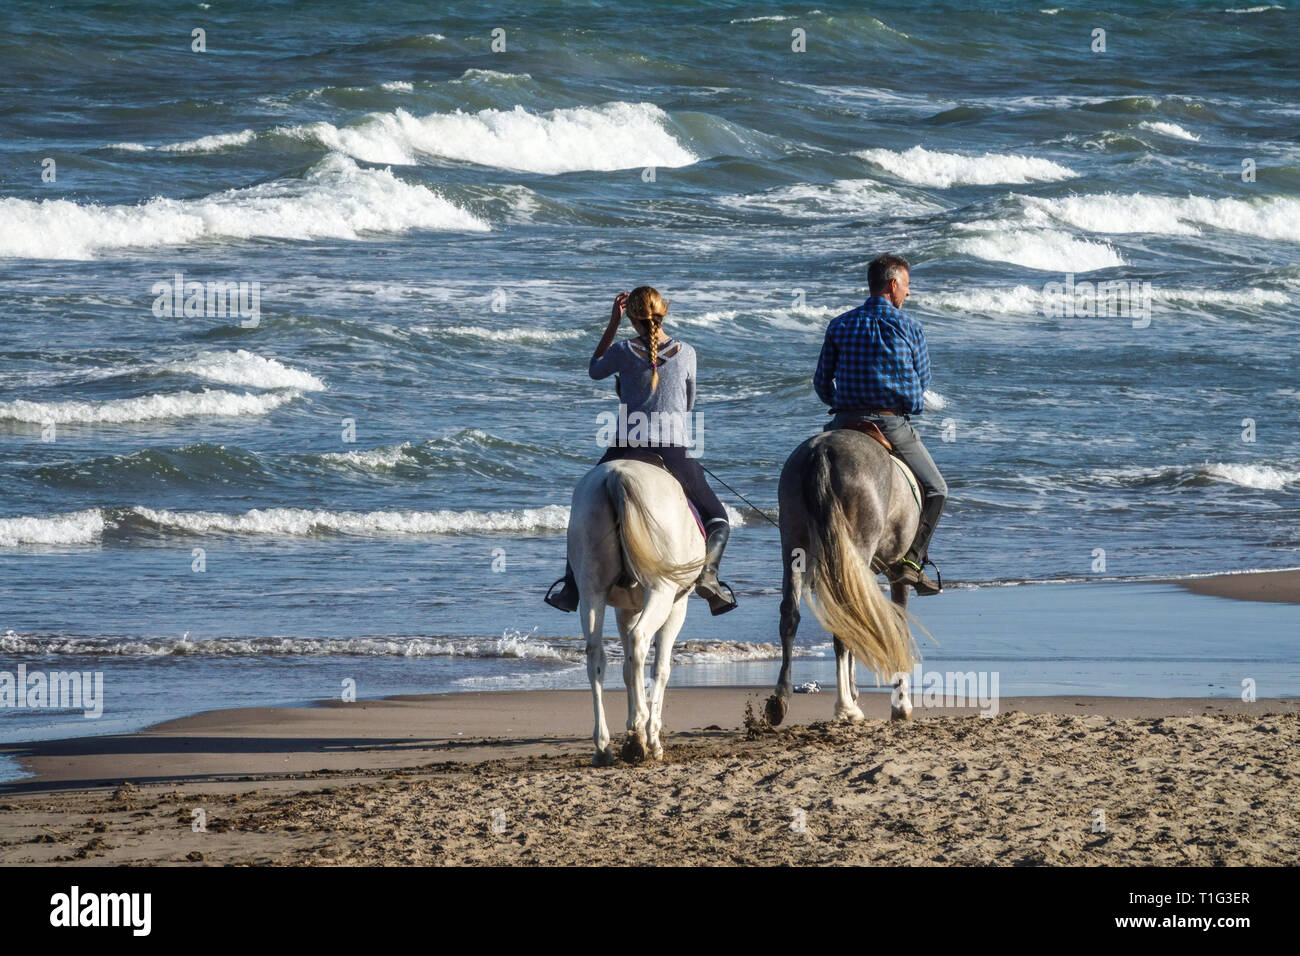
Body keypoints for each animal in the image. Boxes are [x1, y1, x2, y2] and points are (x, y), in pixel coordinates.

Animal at [569, 460, 707, 764]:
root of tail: (616, 475)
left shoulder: (627, 609)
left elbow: (627, 668)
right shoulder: (677, 606)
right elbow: (661, 668)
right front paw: (652, 738)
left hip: (592, 591)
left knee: (596, 655)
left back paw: (604, 746)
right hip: (660, 591)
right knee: (640, 639)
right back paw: (638, 730)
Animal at [764, 429, 920, 723]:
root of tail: (822, 451)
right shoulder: (897, 573)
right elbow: (898, 625)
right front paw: (900, 705)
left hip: (793, 544)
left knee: (790, 614)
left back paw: (780, 700)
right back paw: (846, 707)